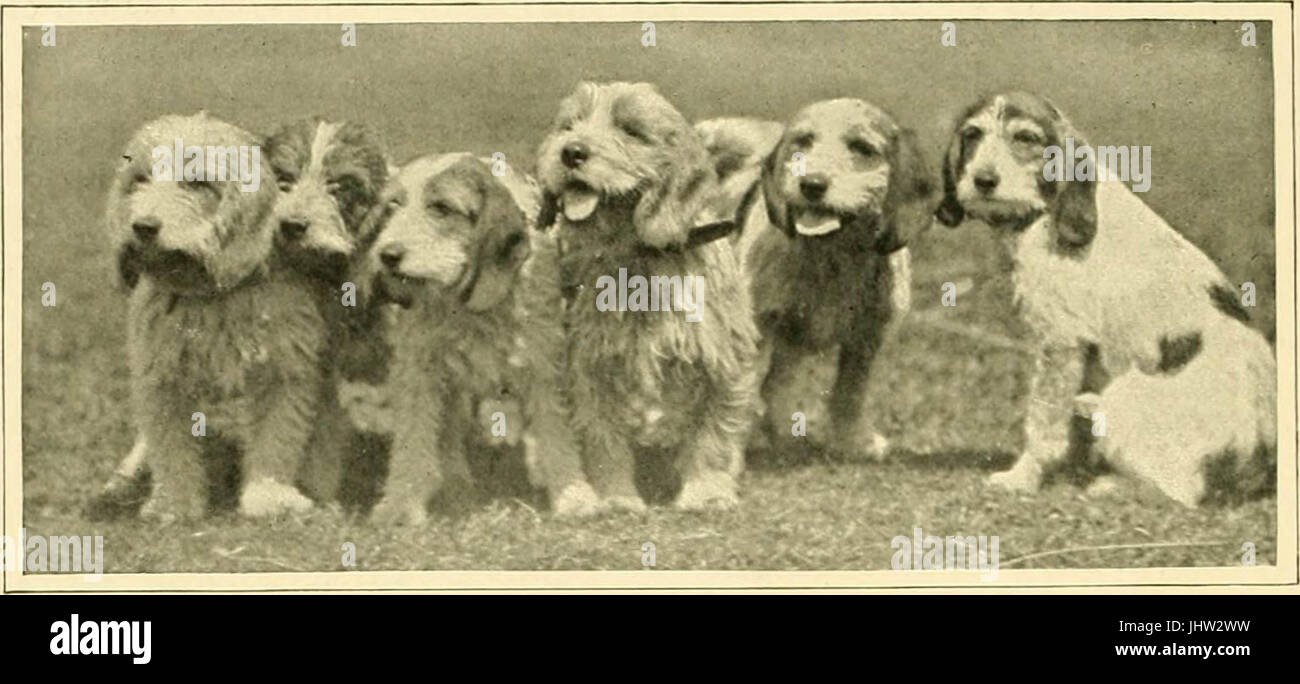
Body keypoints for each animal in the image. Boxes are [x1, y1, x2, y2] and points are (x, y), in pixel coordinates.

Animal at [361, 151, 595, 525]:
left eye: (441, 208)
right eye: (393, 206)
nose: (387, 255)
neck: (470, 306)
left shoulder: (544, 368)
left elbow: (556, 432)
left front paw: (572, 495)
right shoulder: (419, 371)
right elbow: (413, 437)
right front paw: (402, 502)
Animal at [712, 99, 935, 462]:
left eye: (862, 148)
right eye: (803, 141)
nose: (812, 185)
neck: (831, 253)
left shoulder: (866, 338)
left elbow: (850, 392)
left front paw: (851, 443)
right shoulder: (757, 328)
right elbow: (739, 396)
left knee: (776, 386)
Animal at [935, 93, 1279, 507]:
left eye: (1025, 138)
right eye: (972, 134)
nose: (984, 181)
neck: (1047, 213)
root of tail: (1256, 469)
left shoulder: (1061, 343)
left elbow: (1043, 425)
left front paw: (1022, 477)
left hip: (1125, 396)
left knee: (1181, 493)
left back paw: (1111, 481)